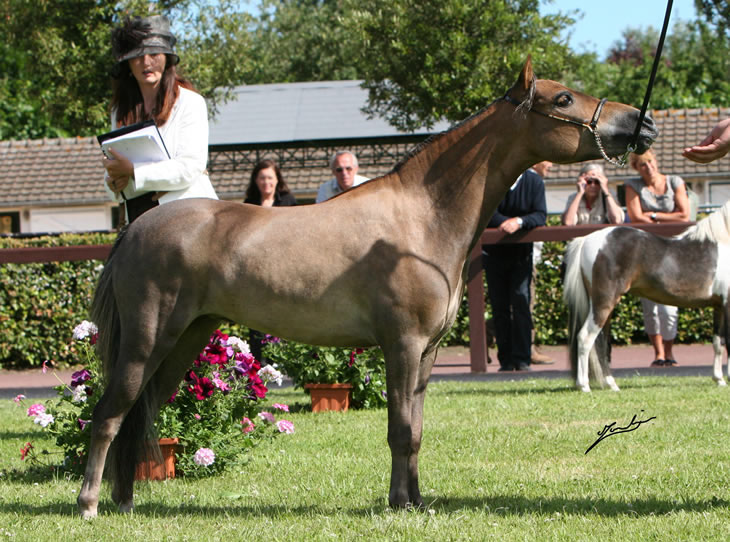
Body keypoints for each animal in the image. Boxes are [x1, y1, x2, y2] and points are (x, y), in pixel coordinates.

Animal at [77, 57, 656, 520]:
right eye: (563, 98)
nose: (642, 121)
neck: (421, 217)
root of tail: (137, 227)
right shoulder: (401, 345)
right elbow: (400, 429)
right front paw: (399, 504)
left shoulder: (425, 353)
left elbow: (415, 429)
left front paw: (415, 501)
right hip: (148, 339)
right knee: (109, 414)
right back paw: (89, 505)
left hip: (187, 339)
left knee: (141, 413)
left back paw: (125, 502)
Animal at [564, 202, 728, 394]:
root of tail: (586, 240)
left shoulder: (719, 306)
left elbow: (718, 343)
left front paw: (719, 379)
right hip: (603, 303)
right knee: (585, 338)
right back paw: (584, 386)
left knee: (601, 342)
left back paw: (612, 385)